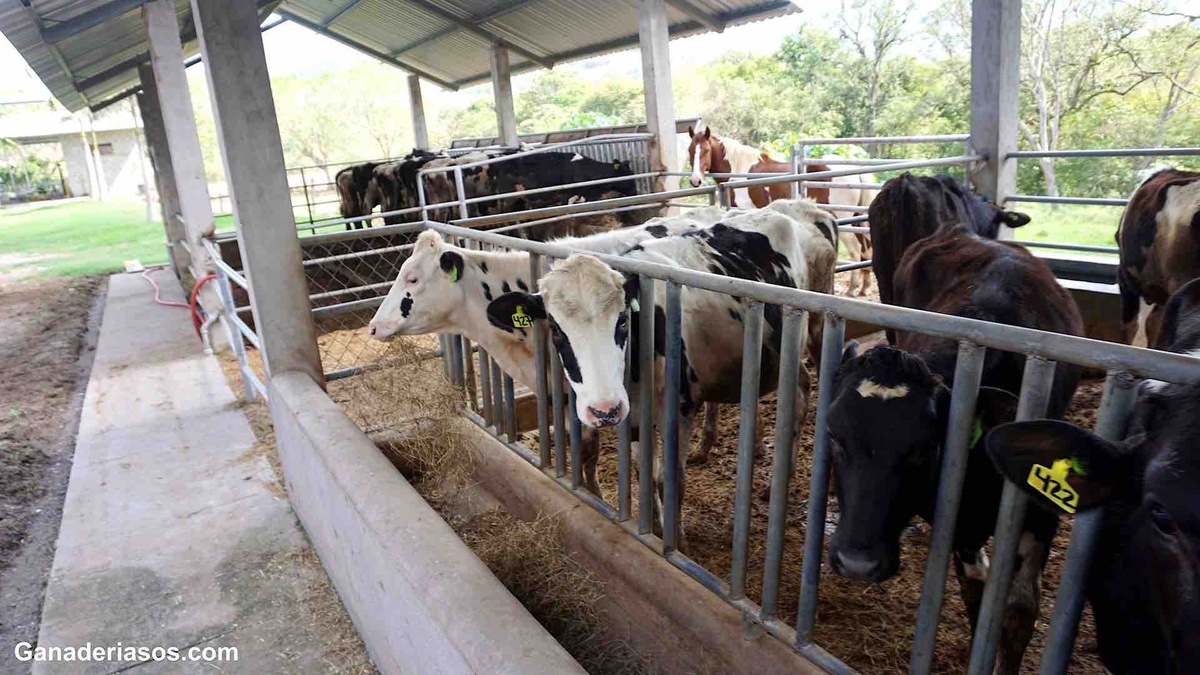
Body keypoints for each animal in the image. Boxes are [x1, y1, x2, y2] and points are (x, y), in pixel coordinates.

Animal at [484, 201, 838, 540]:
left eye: (622, 321)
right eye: (556, 330)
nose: (604, 410)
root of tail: (804, 208)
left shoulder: (680, 410)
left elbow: (669, 481)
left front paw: (676, 542)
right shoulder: (636, 415)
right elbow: (644, 473)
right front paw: (654, 528)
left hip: (819, 324)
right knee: (801, 386)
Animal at [827, 225, 1082, 674]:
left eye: (924, 448)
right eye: (836, 438)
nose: (857, 563)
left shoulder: (1042, 512)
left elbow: (1018, 610)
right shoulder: (963, 524)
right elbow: (977, 596)